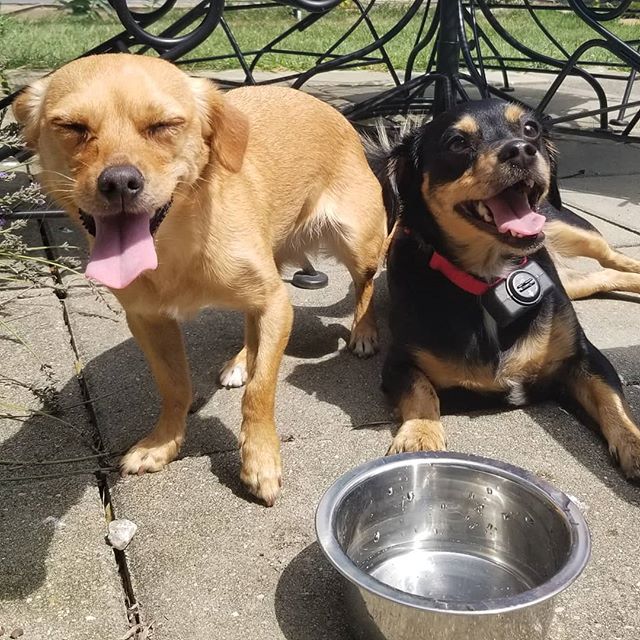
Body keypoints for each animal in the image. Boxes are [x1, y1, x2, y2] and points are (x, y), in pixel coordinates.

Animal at [13, 55, 384, 504]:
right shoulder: (149, 321)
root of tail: (334, 112)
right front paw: (163, 443)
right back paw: (242, 360)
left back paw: (363, 333)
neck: (175, 245)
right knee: (252, 329)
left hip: (356, 242)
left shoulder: (276, 303)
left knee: (365, 286)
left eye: (164, 125)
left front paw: (260, 459)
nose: (119, 181)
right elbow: (174, 386)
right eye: (71, 127)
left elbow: (260, 391)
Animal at [372, 100, 640, 478]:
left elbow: (611, 401)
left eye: (530, 129)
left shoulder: (585, 358)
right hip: (573, 281)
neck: (492, 277)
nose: (522, 150)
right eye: (457, 142)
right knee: (604, 276)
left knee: (615, 259)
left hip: (573, 231)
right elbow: (422, 391)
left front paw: (635, 445)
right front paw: (420, 436)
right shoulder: (399, 364)